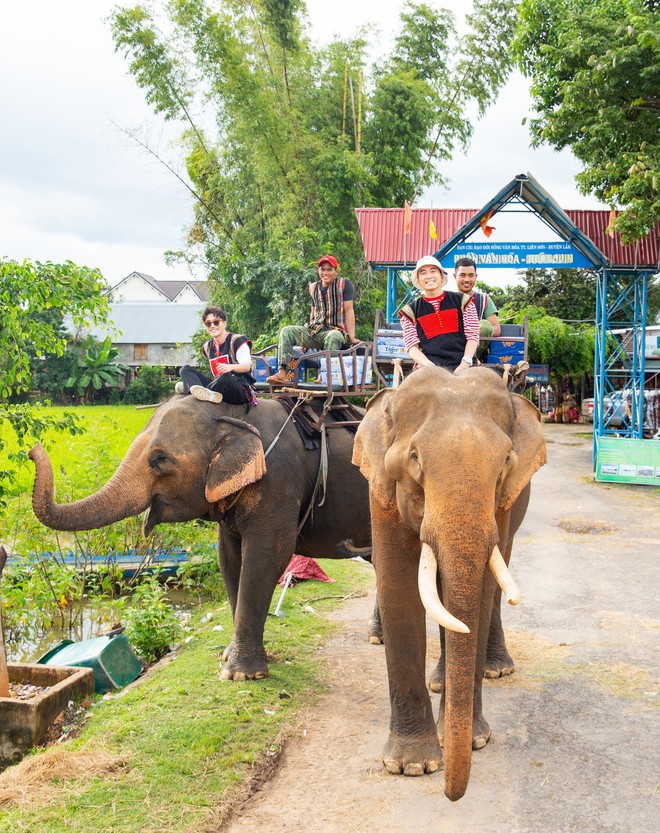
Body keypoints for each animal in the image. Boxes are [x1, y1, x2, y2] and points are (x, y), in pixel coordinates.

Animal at [29, 394, 372, 680]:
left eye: (159, 460)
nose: (33, 450)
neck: (232, 413)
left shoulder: (278, 482)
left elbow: (266, 556)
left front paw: (240, 675)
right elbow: (228, 557)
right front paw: (230, 659)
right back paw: (375, 636)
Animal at [354, 366, 544, 800]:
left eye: (506, 461)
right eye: (414, 459)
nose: (451, 795)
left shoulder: (502, 502)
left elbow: (483, 592)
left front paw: (474, 740)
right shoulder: (380, 490)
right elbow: (397, 587)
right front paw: (411, 766)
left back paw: (493, 670)